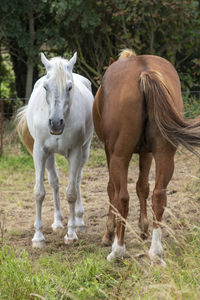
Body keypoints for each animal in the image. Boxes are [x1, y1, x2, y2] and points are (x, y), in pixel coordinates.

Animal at [16, 52, 94, 246]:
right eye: (45, 86)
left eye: (69, 87)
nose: (56, 123)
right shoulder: (40, 151)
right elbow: (39, 192)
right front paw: (38, 237)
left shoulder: (75, 152)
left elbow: (71, 193)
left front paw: (71, 234)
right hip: (50, 156)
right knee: (54, 182)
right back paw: (58, 222)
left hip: (85, 151)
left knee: (77, 180)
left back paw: (79, 221)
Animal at [94, 49, 200, 264]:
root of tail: (144, 71)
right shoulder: (147, 153)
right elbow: (143, 187)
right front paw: (143, 229)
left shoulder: (110, 152)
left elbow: (111, 190)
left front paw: (109, 233)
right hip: (165, 154)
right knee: (159, 196)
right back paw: (155, 252)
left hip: (120, 156)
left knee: (122, 197)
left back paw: (118, 249)